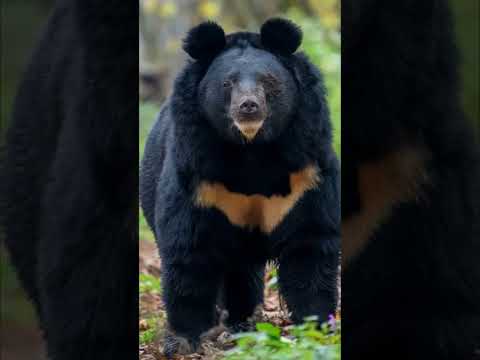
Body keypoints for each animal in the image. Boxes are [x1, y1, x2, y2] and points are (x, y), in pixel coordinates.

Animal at [140, 19, 342, 354]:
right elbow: (189, 250)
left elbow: (310, 244)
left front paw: (316, 329)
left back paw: (242, 324)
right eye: (227, 83)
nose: (249, 106)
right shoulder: (198, 175)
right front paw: (182, 341)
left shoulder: (306, 170)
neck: (252, 150)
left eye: (268, 81)